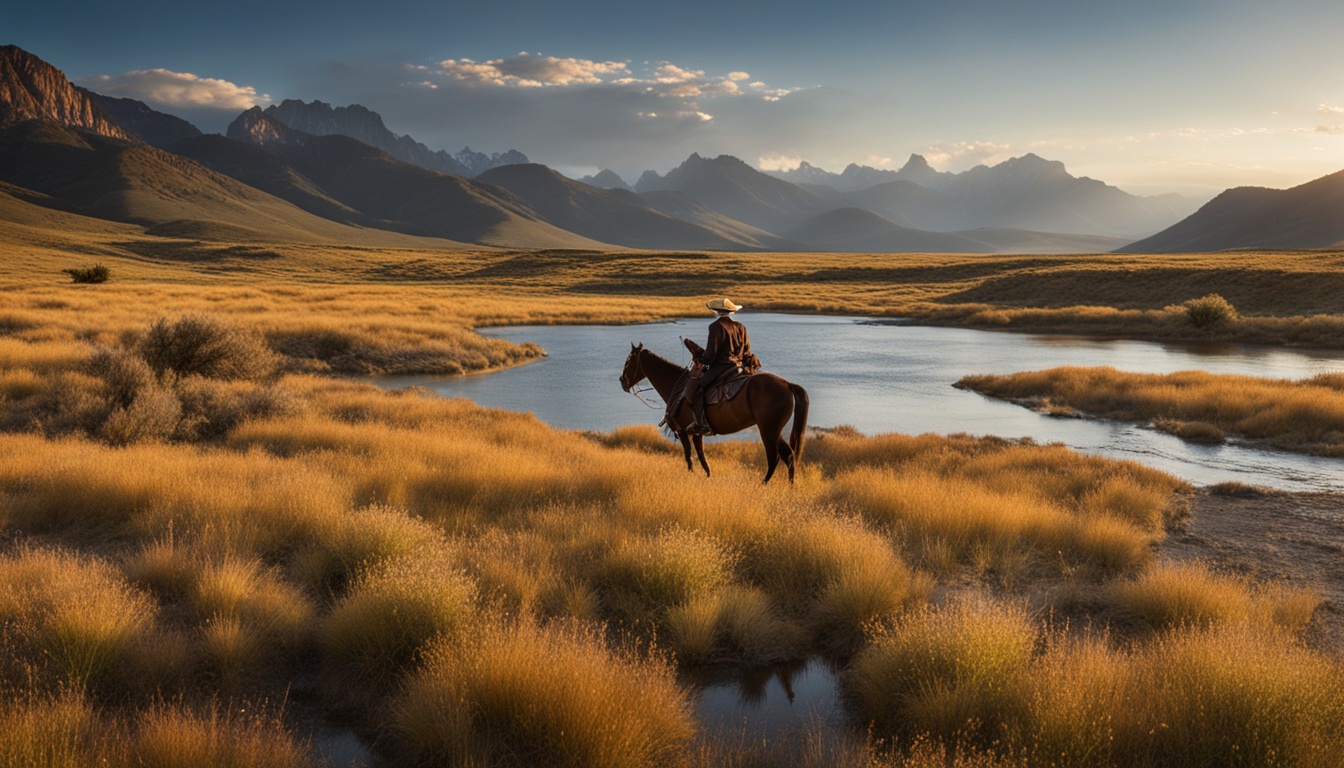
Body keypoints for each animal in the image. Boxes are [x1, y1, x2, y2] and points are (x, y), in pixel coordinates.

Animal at [618, 344, 806, 484]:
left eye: (628, 361)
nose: (622, 381)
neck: (676, 384)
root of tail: (787, 384)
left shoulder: (682, 431)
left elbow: (689, 457)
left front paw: (691, 475)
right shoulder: (697, 432)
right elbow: (702, 457)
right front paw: (708, 476)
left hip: (767, 430)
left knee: (774, 458)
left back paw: (763, 484)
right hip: (773, 430)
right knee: (788, 455)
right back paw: (790, 486)